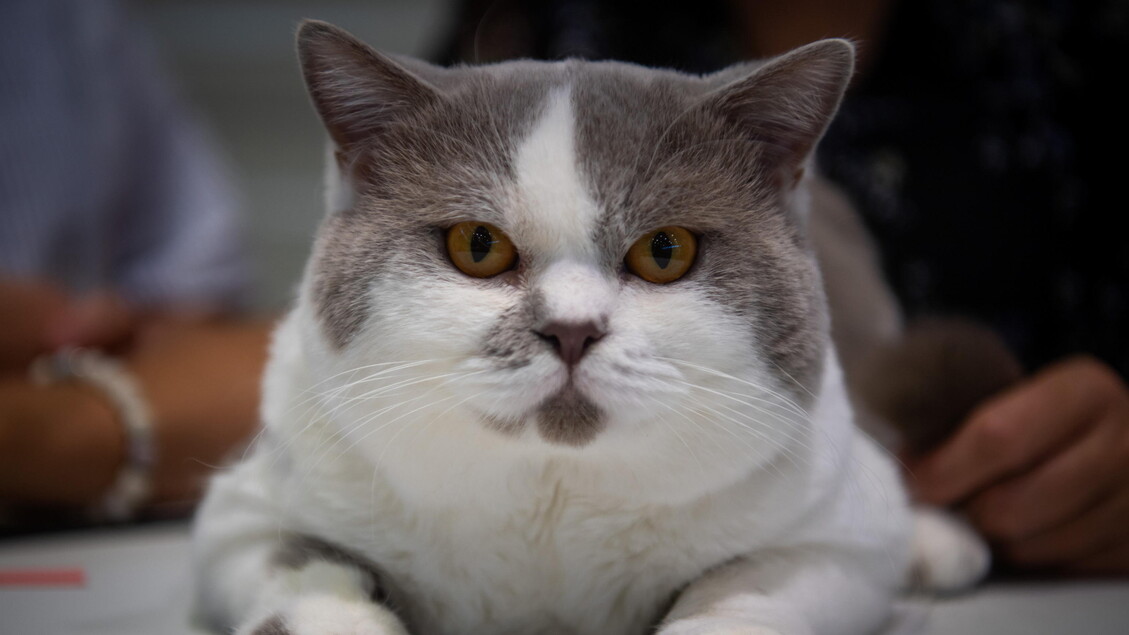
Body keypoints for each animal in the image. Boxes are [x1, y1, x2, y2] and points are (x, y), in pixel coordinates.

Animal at [191, 19, 989, 632]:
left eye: (665, 251)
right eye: (476, 246)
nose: (571, 329)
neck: (554, 501)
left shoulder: (836, 541)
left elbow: (742, 590)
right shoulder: (245, 517)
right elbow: (311, 576)